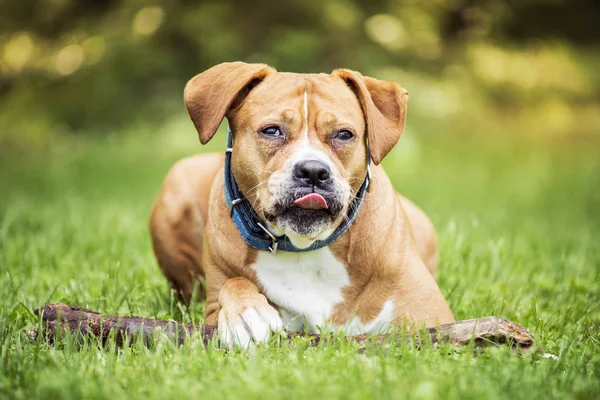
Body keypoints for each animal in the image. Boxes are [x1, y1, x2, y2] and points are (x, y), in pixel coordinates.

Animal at [149, 61, 450, 348]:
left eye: (344, 134)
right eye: (271, 131)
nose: (313, 171)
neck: (305, 247)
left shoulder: (430, 317)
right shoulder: (211, 309)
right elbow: (233, 284)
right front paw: (246, 313)